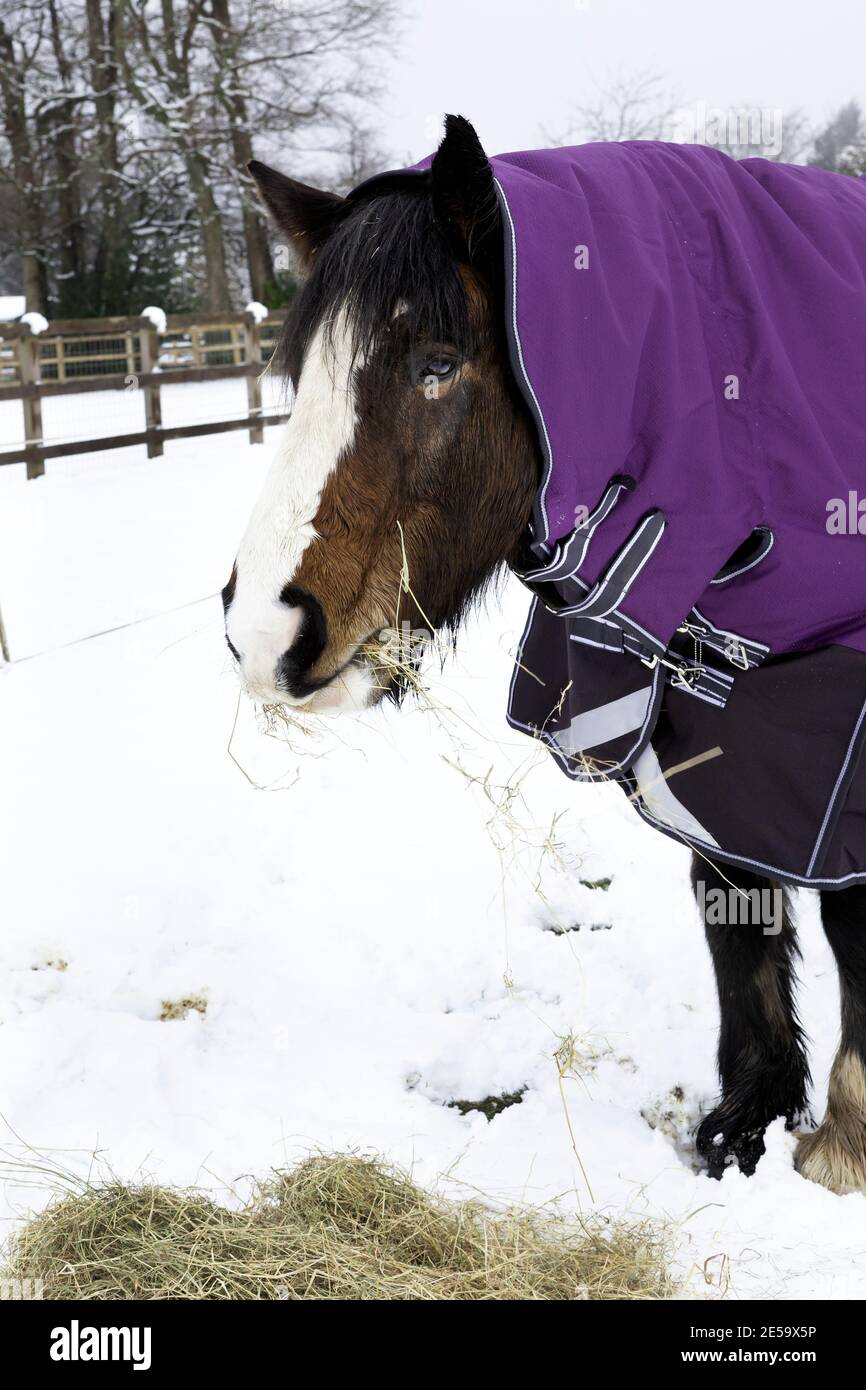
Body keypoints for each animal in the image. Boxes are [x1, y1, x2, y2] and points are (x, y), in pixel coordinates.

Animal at [222, 116, 866, 1195]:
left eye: (437, 363)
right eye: (300, 373)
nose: (264, 633)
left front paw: (840, 1152)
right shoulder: (714, 706)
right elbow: (730, 897)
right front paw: (749, 1124)